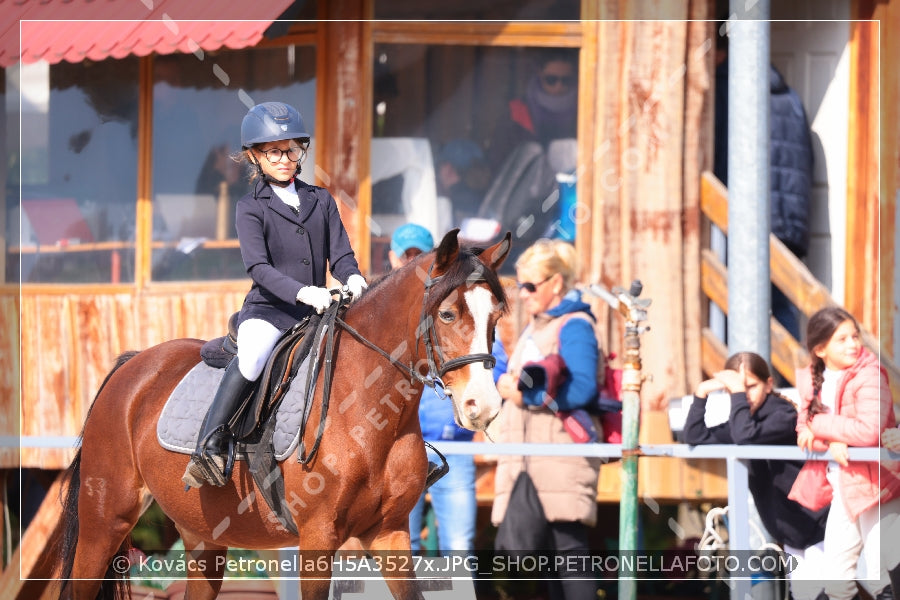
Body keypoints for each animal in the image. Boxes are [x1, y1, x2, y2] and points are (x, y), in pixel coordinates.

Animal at [56, 229, 510, 596]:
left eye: (496, 317)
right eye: (447, 314)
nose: (483, 406)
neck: (371, 416)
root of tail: (133, 365)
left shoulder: (390, 534)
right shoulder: (317, 538)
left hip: (201, 537)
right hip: (104, 524)